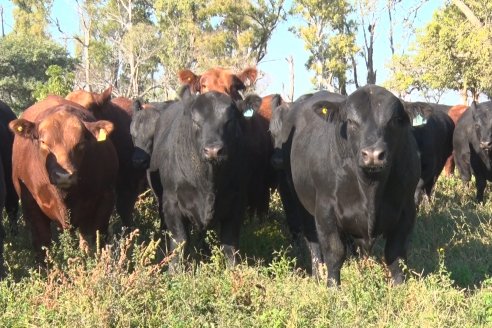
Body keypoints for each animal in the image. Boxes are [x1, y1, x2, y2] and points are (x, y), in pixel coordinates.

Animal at [9, 98, 118, 255]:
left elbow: (93, 241)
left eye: (80, 144)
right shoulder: (30, 205)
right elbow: (42, 244)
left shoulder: (105, 200)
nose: (64, 176)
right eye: (43, 142)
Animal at [150, 91, 264, 266]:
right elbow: (179, 241)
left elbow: (230, 245)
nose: (213, 150)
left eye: (230, 121)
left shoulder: (238, 202)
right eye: (196, 122)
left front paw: (233, 269)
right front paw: (174, 270)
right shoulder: (171, 202)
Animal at [290, 85, 420, 288]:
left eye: (394, 120)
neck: (370, 188)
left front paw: (399, 286)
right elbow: (334, 253)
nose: (373, 155)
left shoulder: (407, 210)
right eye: (351, 121)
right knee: (313, 242)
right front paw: (332, 287)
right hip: (302, 203)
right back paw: (317, 275)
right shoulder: (325, 210)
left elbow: (395, 255)